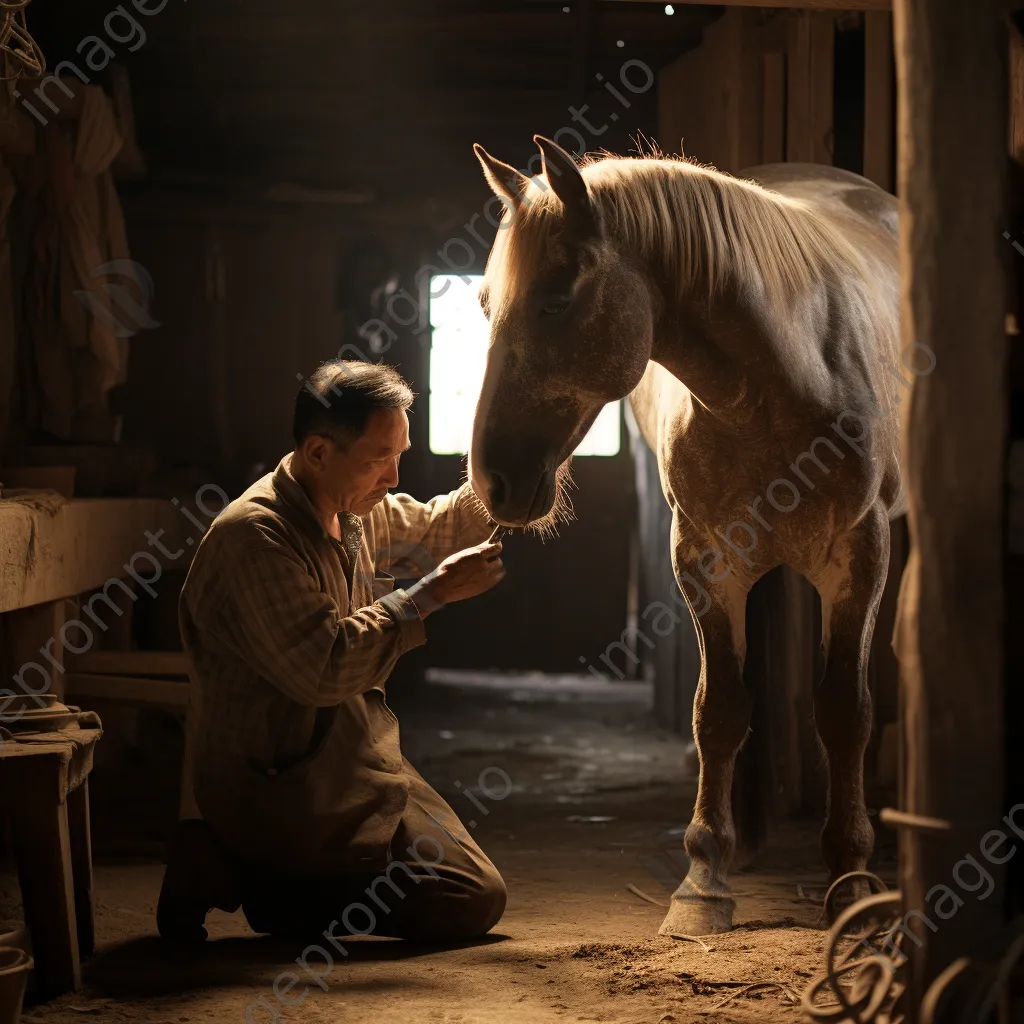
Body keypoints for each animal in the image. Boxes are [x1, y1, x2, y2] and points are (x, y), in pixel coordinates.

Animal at [468, 136, 901, 937]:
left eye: (555, 301)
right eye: (485, 303)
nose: (493, 482)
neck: (782, 382)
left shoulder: (861, 556)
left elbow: (844, 711)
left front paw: (852, 878)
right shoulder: (705, 560)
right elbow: (720, 711)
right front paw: (704, 882)